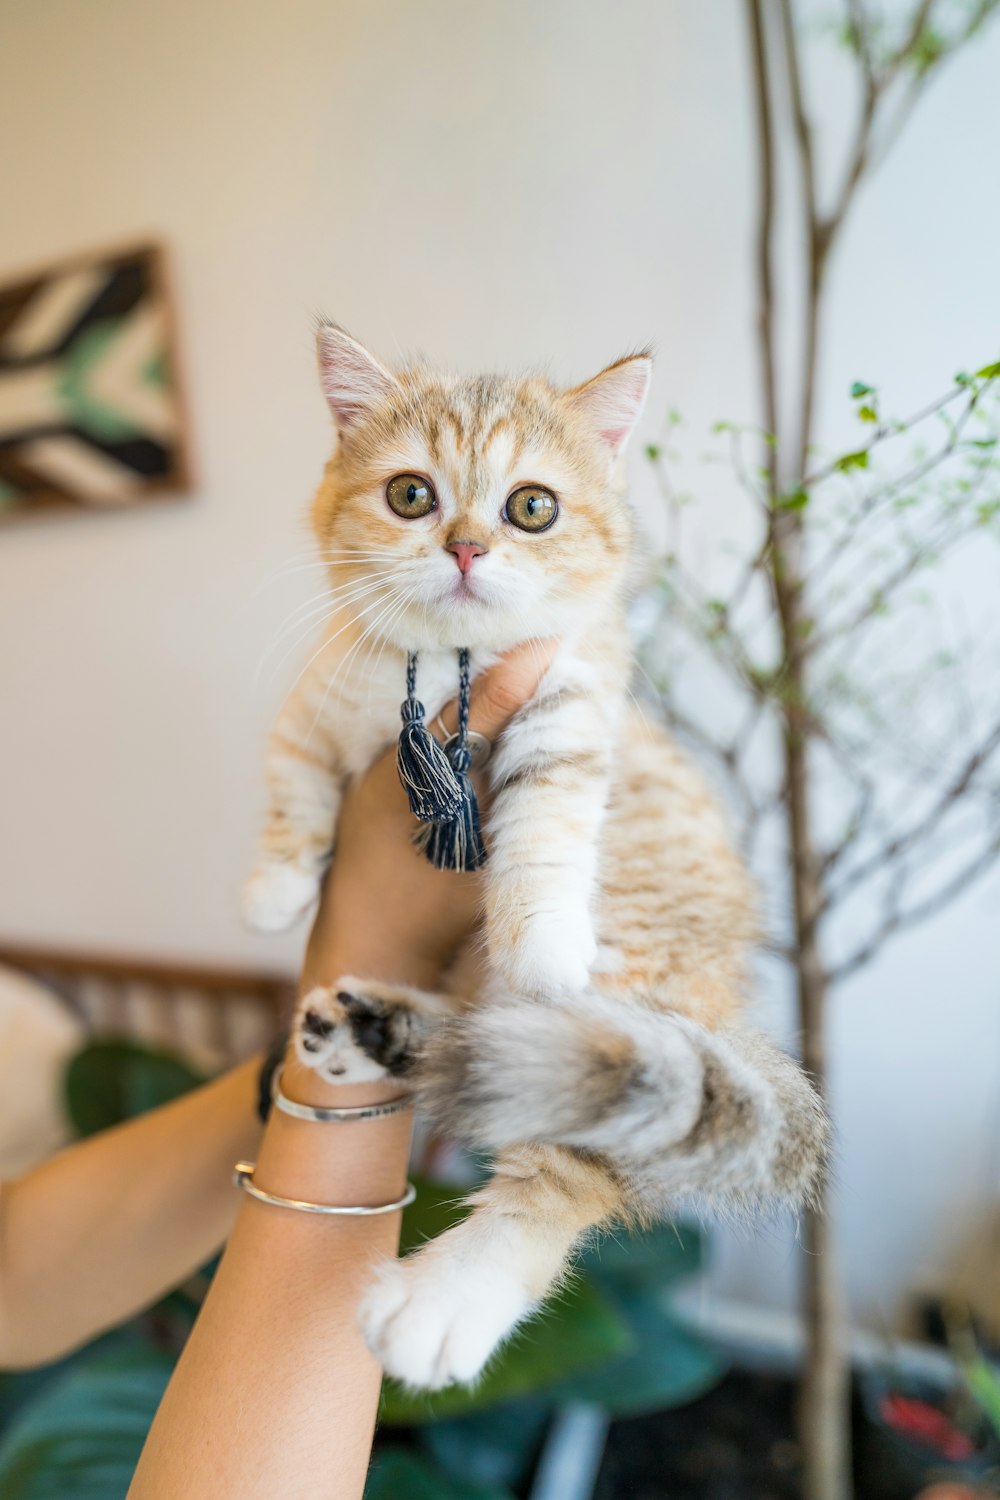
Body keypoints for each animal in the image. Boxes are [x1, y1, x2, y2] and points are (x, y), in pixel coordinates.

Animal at [245, 328, 827, 1392]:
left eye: (531, 507)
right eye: (411, 495)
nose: (467, 546)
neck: (451, 672)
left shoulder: (575, 703)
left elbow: (551, 822)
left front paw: (544, 933)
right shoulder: (318, 702)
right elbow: (292, 779)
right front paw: (274, 886)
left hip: (636, 1009)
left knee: (571, 1164)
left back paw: (446, 1300)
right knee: (489, 1038)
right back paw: (369, 1030)